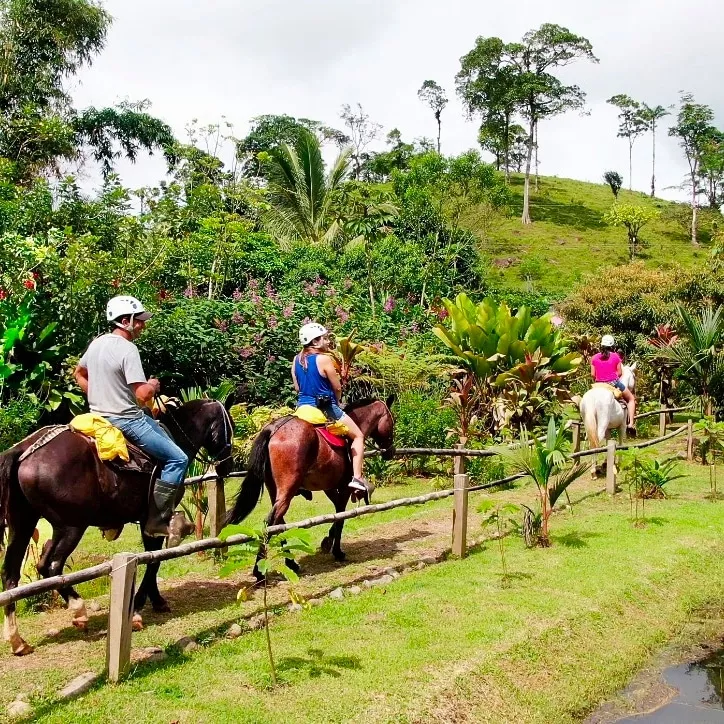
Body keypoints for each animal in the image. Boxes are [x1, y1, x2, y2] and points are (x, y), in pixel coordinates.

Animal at [0, 402, 232, 656]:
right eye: (229, 425)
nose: (228, 465)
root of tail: (24, 450)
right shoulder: (153, 522)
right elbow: (154, 560)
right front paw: (138, 609)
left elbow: (153, 559)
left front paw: (157, 600)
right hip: (71, 526)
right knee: (51, 566)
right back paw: (79, 610)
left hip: (23, 524)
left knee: (12, 575)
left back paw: (17, 640)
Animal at [226, 396, 396, 576]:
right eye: (392, 421)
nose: (390, 451)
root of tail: (273, 429)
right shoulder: (343, 487)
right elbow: (341, 516)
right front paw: (337, 551)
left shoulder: (329, 488)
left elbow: (337, 514)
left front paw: (328, 541)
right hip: (287, 490)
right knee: (270, 522)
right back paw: (260, 571)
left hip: (275, 491)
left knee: (278, 523)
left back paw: (290, 563)